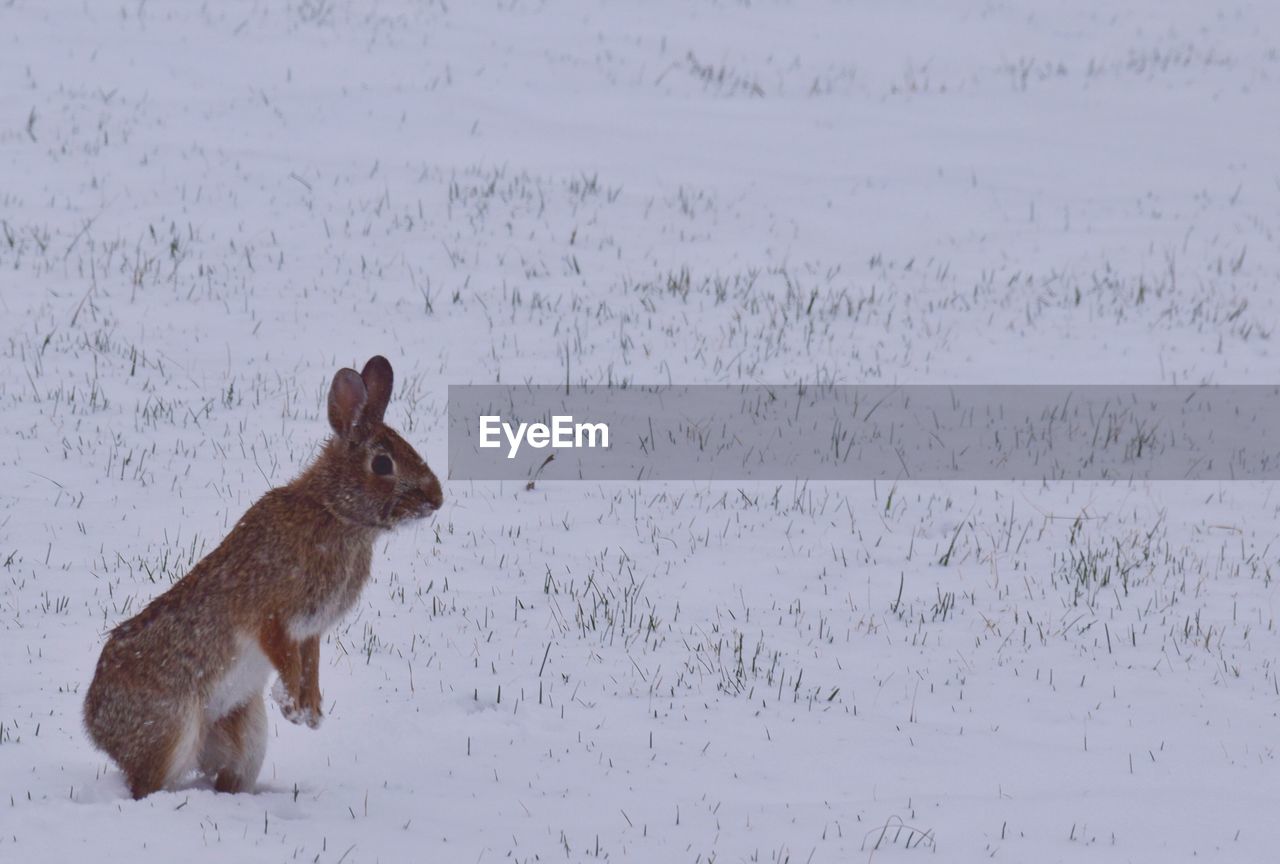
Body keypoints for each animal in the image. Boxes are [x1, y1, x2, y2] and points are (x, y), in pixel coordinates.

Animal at [81, 355, 440, 798]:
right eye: (383, 463)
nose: (436, 499)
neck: (334, 510)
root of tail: (94, 724)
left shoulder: (311, 629)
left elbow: (310, 663)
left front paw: (312, 710)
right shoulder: (271, 614)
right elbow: (283, 656)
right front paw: (292, 706)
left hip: (246, 734)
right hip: (172, 728)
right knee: (149, 782)